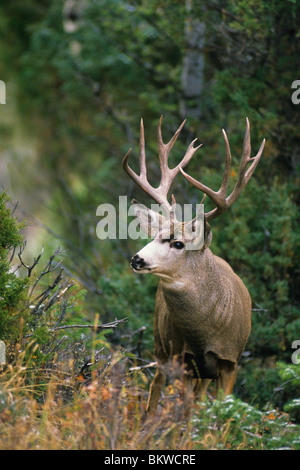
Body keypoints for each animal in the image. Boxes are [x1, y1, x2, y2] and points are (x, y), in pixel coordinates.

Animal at [122, 115, 264, 414]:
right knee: (156, 386)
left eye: (178, 244)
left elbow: (222, 410)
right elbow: (185, 412)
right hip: (160, 343)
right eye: (154, 236)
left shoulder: (230, 361)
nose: (137, 258)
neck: (204, 332)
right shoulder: (183, 358)